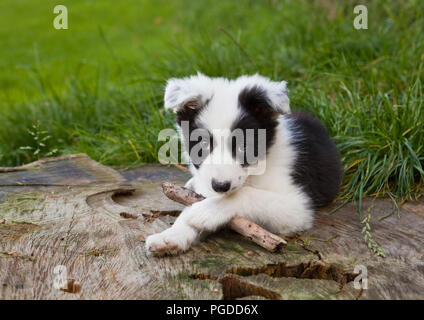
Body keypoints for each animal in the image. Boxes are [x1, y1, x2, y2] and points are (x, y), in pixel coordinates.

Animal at [146, 73, 342, 255]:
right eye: (203, 144)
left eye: (243, 146)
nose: (220, 186)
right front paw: (170, 235)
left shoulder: (298, 205)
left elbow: (246, 194)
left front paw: (205, 212)